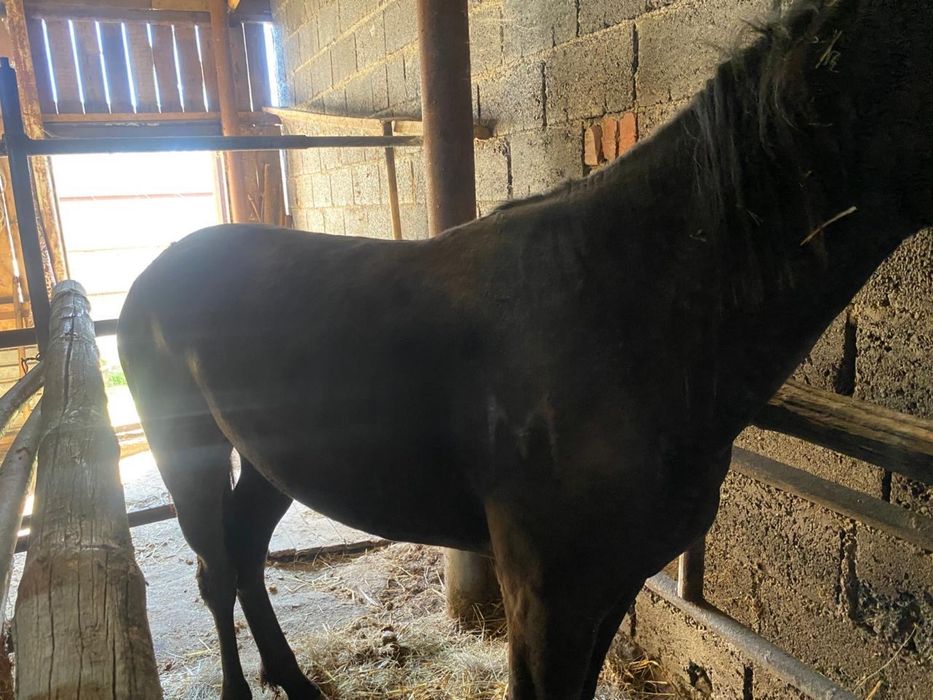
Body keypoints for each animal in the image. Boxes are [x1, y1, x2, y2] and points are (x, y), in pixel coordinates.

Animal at [117, 1, 933, 698]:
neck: (624, 314)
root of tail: (154, 274)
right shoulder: (546, 599)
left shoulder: (612, 582)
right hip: (187, 452)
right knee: (215, 568)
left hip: (269, 459)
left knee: (246, 555)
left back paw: (294, 680)